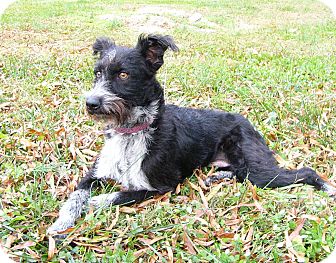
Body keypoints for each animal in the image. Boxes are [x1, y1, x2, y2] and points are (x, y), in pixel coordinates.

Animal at [46, 34, 334, 235]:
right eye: (97, 73)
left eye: (124, 75)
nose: (91, 103)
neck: (131, 130)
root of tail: (245, 120)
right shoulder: (94, 174)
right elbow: (75, 196)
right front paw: (60, 224)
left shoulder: (158, 186)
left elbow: (118, 195)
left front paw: (96, 202)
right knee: (239, 174)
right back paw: (218, 176)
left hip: (259, 170)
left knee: (305, 172)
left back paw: (327, 188)